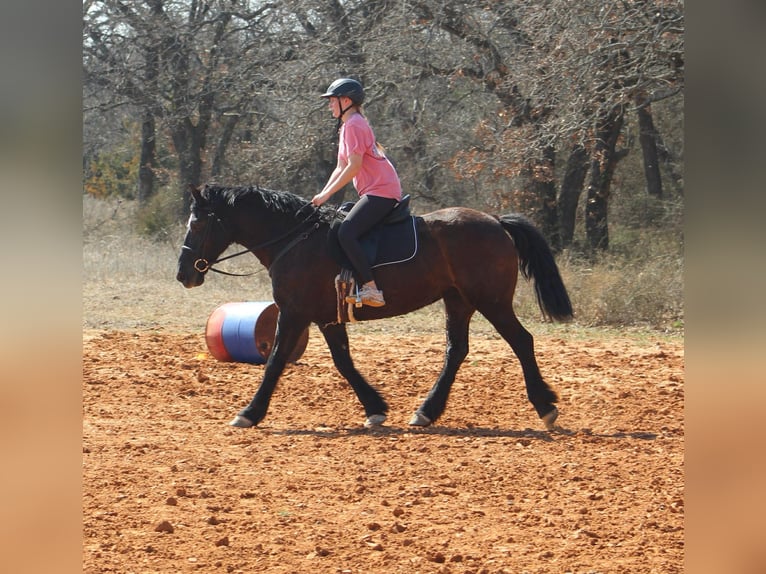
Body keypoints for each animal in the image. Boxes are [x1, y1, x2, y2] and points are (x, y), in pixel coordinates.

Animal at [176, 183, 573, 430]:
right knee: (456, 350)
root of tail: (495, 221)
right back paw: (426, 412)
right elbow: (343, 362)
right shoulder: (326, 318)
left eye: (197, 223)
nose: (183, 274)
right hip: (458, 300)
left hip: (490, 300)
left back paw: (545, 406)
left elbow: (274, 361)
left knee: (521, 342)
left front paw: (249, 413)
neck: (294, 239)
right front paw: (375, 408)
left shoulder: (293, 313)